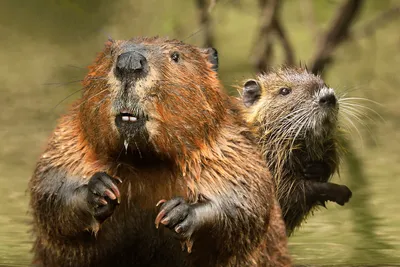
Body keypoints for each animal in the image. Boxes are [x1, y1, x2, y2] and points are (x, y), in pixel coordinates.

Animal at [28, 36, 290, 267]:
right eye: (110, 52)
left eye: (175, 56)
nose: (129, 62)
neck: (146, 162)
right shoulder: (70, 139)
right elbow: (49, 186)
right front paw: (101, 190)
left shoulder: (229, 145)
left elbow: (246, 199)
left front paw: (177, 212)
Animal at [241, 67, 350, 237]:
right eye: (284, 91)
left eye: (323, 82)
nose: (328, 97)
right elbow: (289, 193)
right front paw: (341, 192)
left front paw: (316, 168)